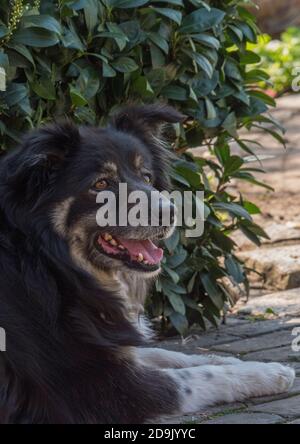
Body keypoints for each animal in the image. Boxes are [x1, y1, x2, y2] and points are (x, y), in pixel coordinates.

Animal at [0, 103, 296, 424]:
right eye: (101, 184)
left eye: (146, 177)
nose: (171, 212)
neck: (48, 262)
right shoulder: (99, 387)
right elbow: (199, 377)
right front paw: (267, 372)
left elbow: (167, 354)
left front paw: (231, 359)